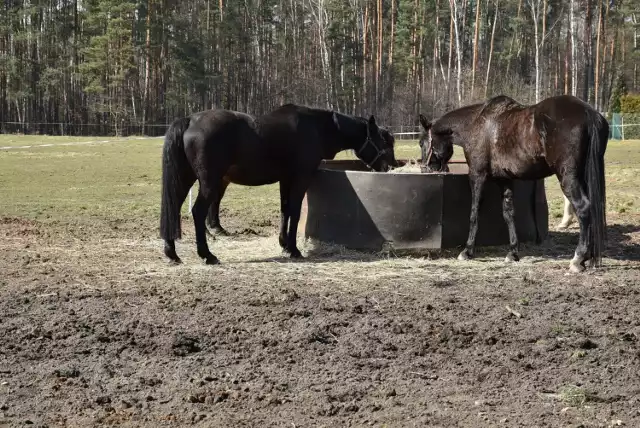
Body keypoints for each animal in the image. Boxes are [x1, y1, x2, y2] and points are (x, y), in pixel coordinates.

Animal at [206, 123, 396, 237]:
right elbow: (292, 210)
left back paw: (216, 228)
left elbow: (286, 210)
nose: (390, 166)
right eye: (384, 142)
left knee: (215, 200)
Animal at [418, 95, 608, 272]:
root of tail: (588, 113)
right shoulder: (504, 179)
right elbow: (508, 214)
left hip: (568, 177)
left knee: (583, 208)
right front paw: (513, 252)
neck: (476, 124)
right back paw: (588, 256)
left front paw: (467, 251)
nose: (425, 168)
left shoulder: (477, 175)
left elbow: (474, 213)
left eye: (421, 143)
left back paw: (578, 258)